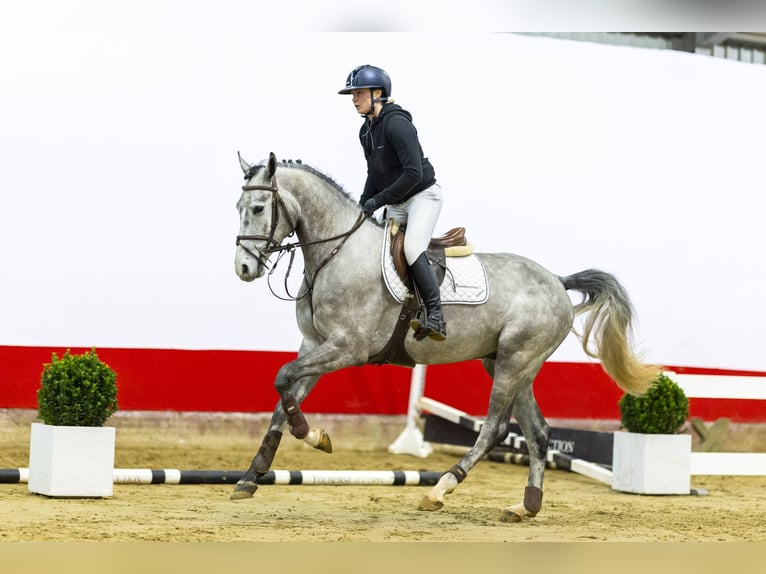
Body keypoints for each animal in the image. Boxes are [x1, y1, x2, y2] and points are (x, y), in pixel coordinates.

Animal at [231, 155, 656, 524]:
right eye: (238, 206)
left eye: (258, 208)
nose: (244, 268)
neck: (336, 254)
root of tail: (557, 280)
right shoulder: (314, 345)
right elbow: (283, 398)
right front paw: (252, 476)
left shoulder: (346, 348)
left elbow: (283, 378)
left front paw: (315, 437)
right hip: (508, 363)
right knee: (537, 432)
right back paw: (525, 506)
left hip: (514, 361)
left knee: (494, 429)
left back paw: (440, 489)